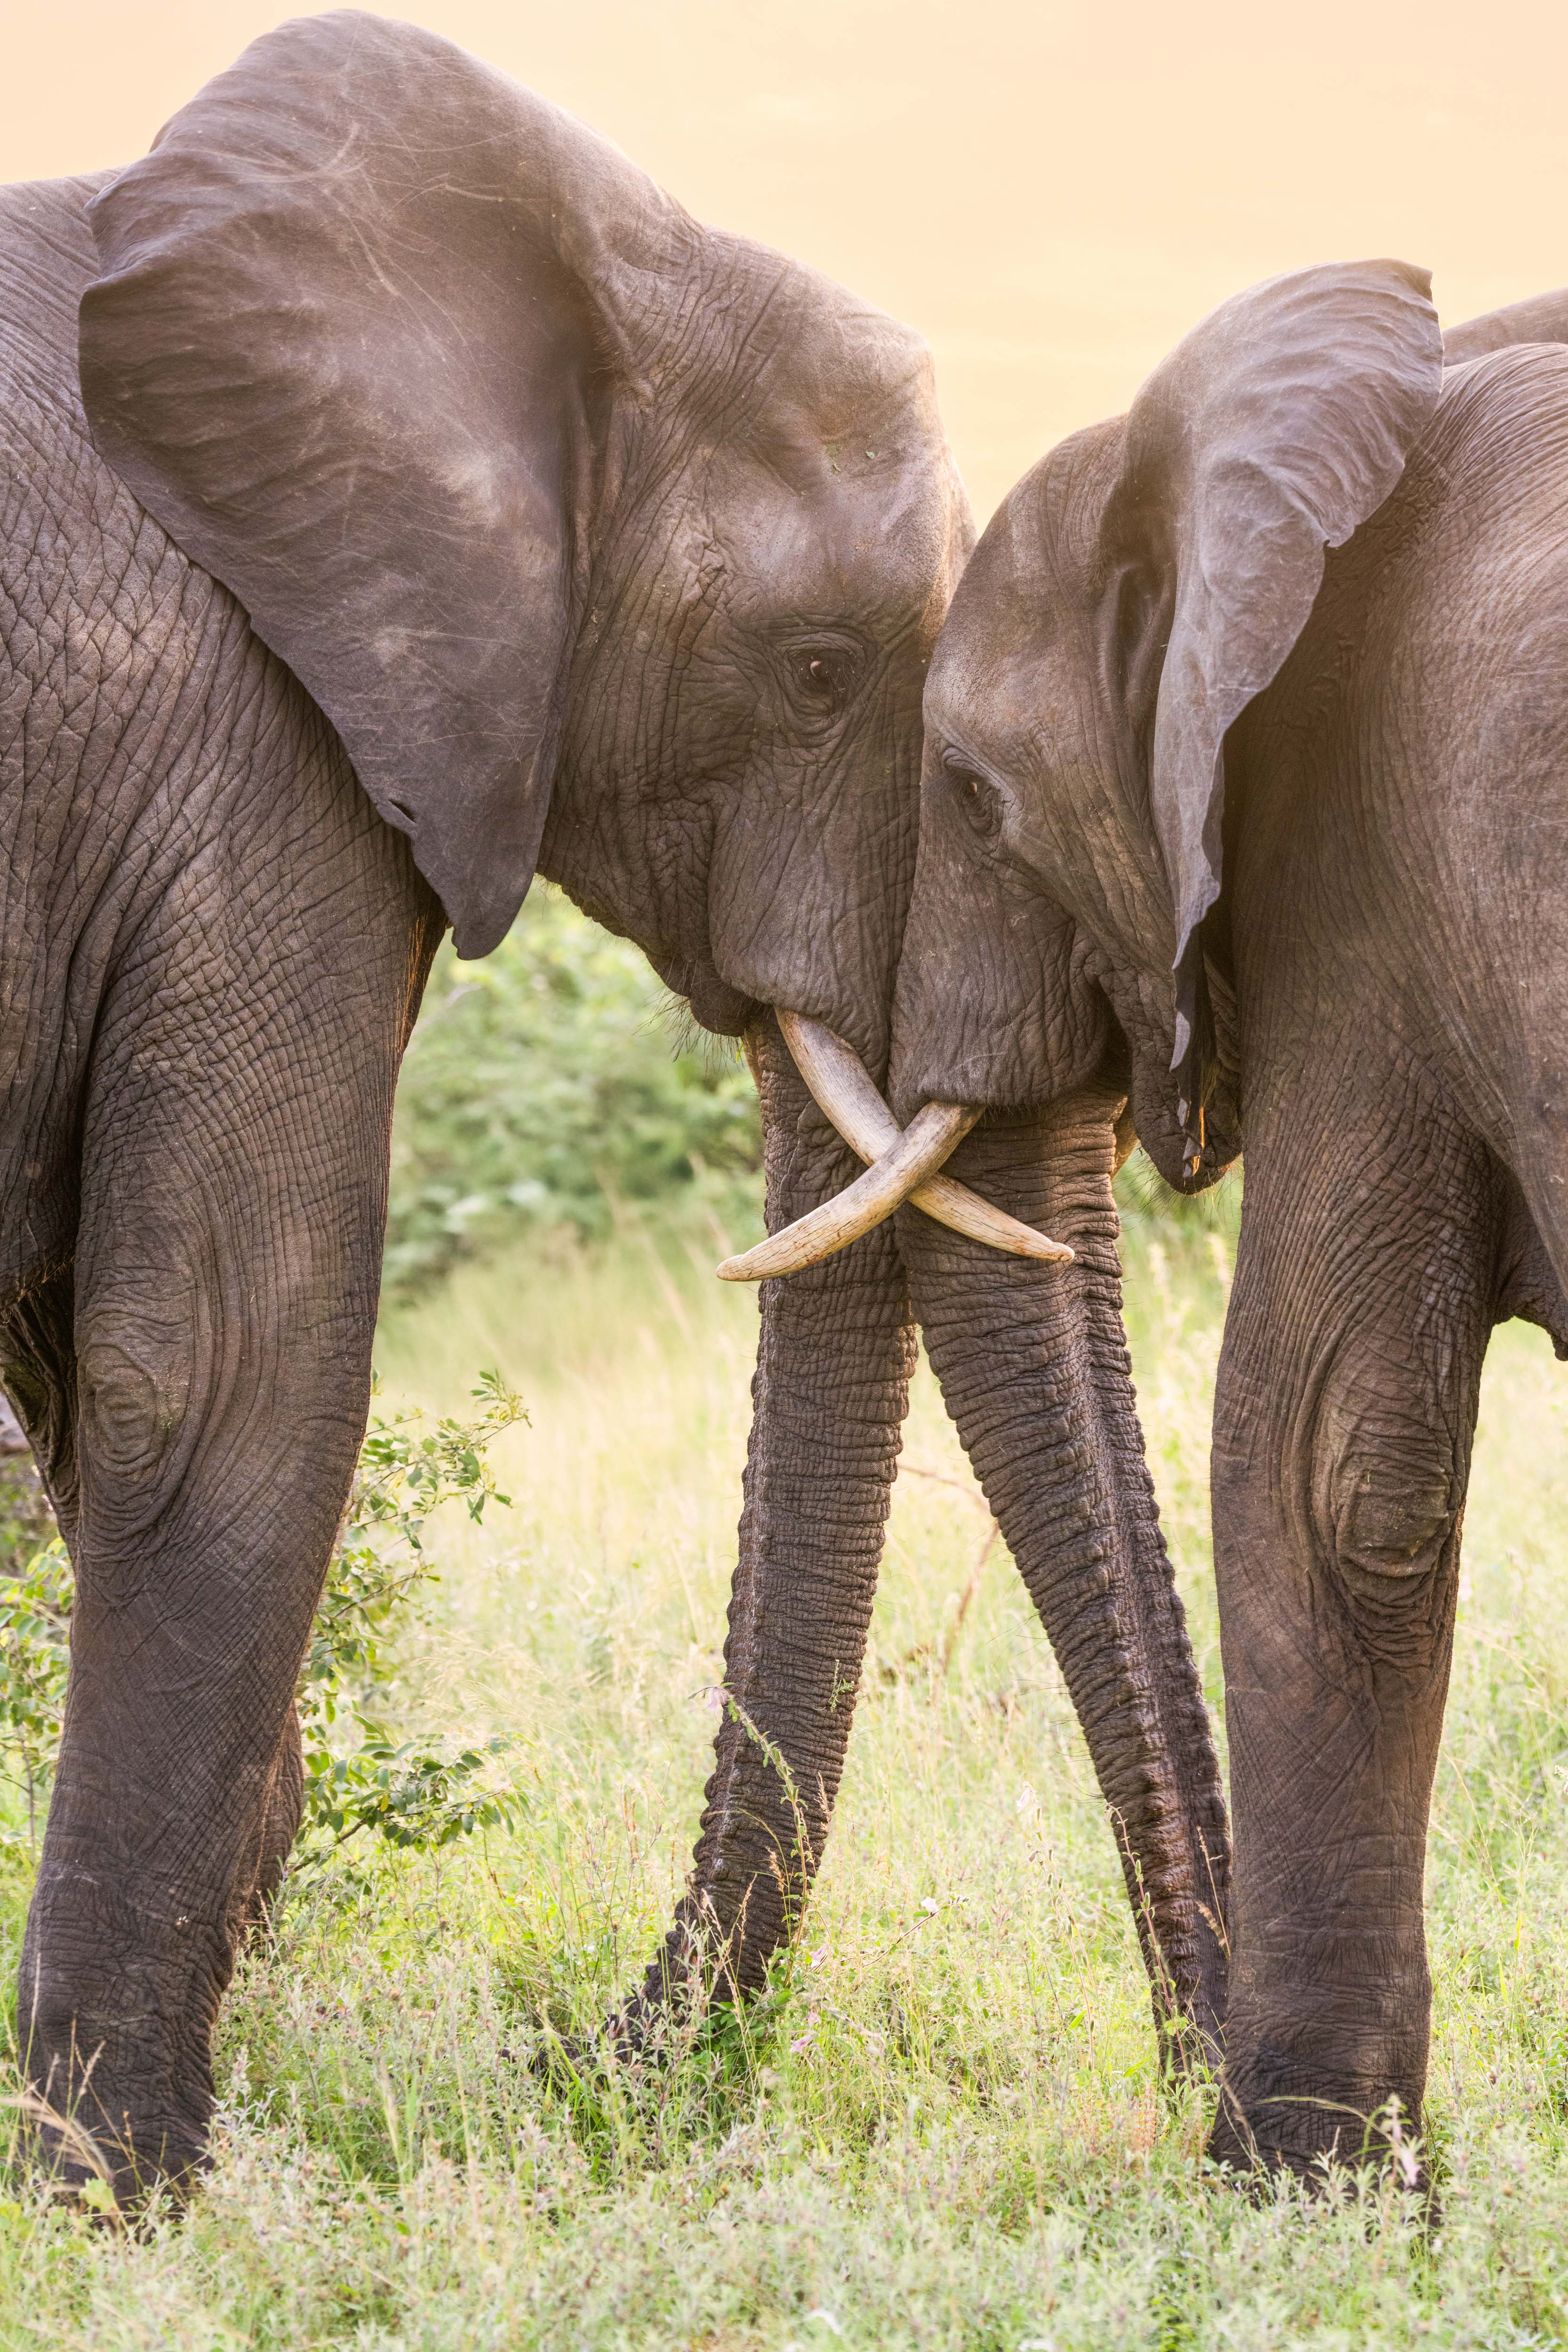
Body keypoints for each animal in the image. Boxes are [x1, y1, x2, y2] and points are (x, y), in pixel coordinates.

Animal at [0, 7, 1229, 2194]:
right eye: (819, 673)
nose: (1208, 2098)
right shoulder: (252, 756)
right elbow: (214, 1364)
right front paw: (125, 2190)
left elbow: (101, 1375)